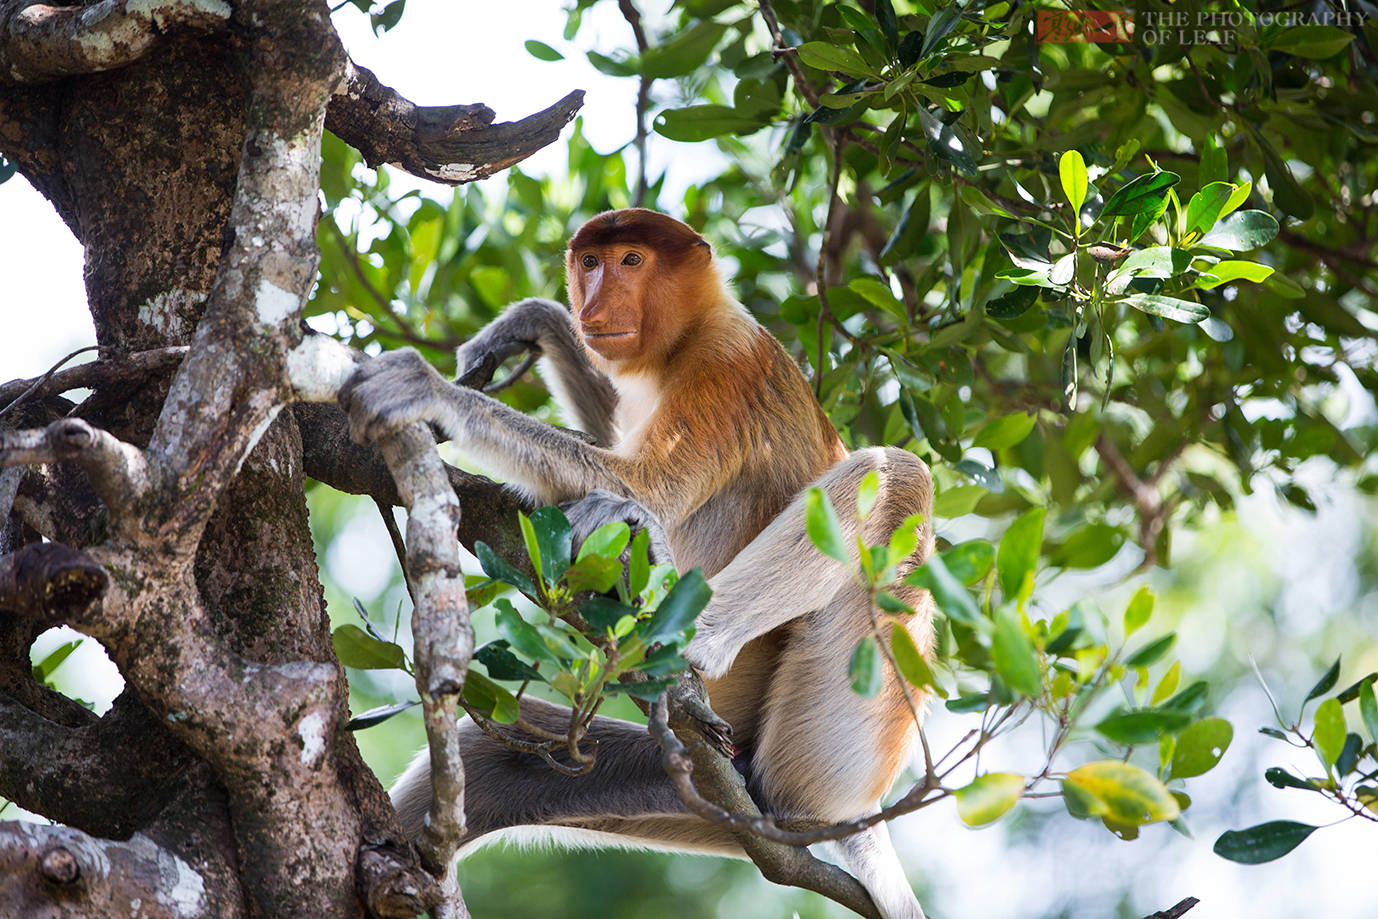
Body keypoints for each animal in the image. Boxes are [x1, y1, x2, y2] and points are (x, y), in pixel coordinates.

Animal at [340, 208, 937, 919]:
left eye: (631, 260)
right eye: (589, 262)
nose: (593, 307)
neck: (696, 326)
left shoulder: (725, 366)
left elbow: (645, 483)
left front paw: (426, 390)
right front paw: (534, 322)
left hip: (832, 742)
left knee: (898, 474)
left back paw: (686, 629)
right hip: (692, 784)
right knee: (487, 758)